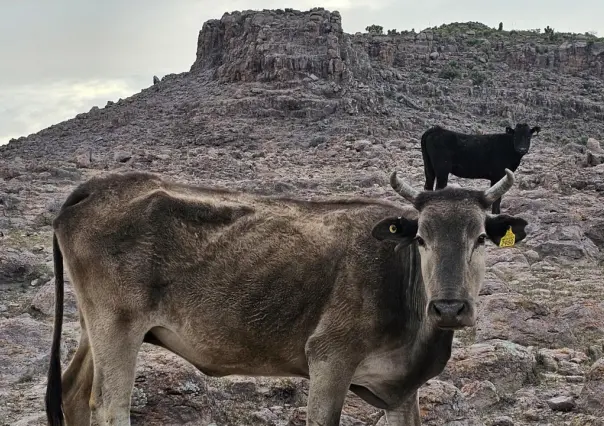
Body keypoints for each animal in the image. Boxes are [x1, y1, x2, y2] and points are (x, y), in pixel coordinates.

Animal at [46, 168, 528, 426]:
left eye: (481, 237)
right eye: (422, 239)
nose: (449, 307)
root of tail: (95, 186)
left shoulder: (401, 388)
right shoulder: (330, 358)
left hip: (95, 327)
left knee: (73, 395)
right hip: (118, 327)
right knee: (108, 407)